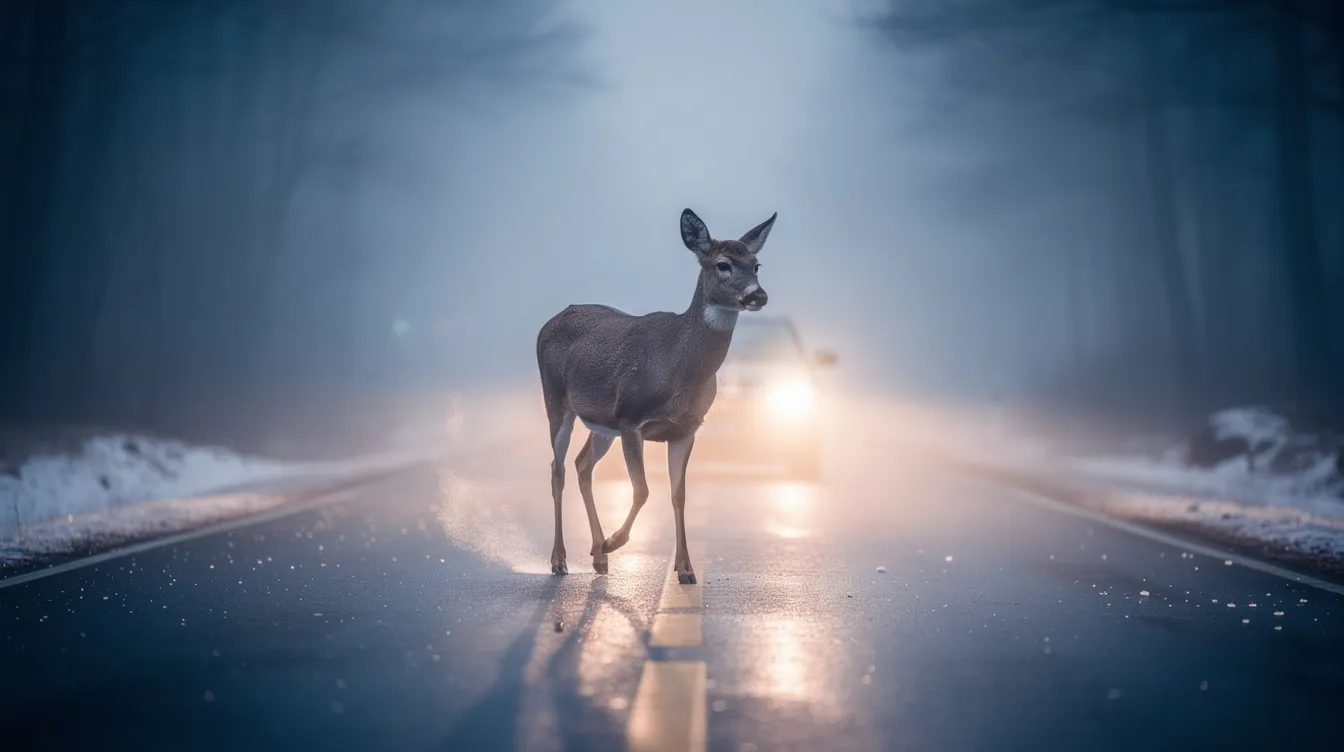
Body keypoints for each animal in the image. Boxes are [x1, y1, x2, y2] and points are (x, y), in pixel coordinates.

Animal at [535, 208, 776, 583]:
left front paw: (686, 569)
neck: (677, 367)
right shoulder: (631, 418)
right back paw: (561, 560)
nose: (758, 296)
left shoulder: (685, 429)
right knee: (556, 469)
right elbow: (642, 489)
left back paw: (598, 556)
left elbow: (678, 495)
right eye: (723, 264)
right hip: (557, 399)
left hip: (601, 423)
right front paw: (615, 541)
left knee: (582, 464)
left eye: (756, 264)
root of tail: (550, 321)